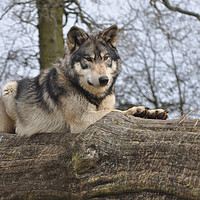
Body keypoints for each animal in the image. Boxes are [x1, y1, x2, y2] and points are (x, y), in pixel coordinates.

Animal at [0, 25, 167, 136]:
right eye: (88, 59)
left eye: (106, 58)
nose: (104, 79)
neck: (95, 95)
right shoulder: (81, 119)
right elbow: (113, 112)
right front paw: (135, 111)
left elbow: (112, 110)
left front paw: (151, 112)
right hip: (8, 88)